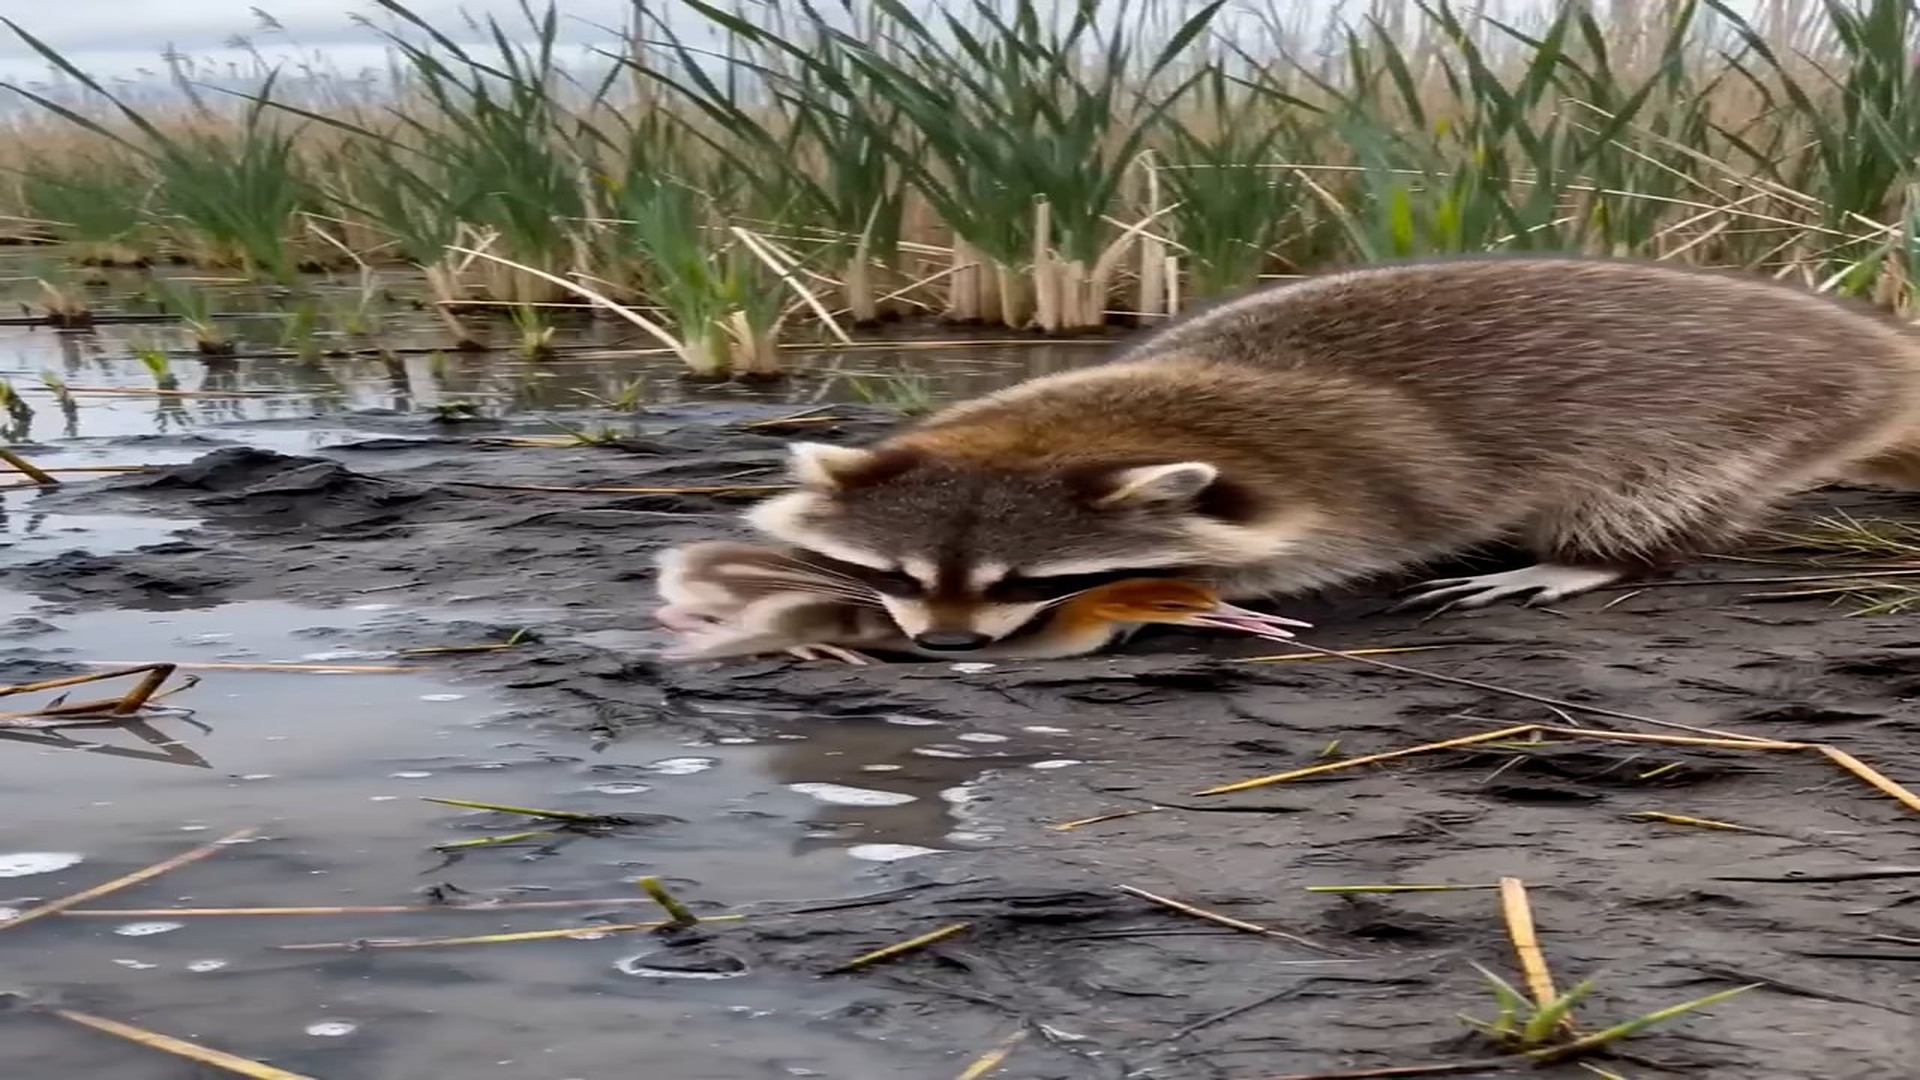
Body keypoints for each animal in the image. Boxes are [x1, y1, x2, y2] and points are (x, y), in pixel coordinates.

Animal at [744, 255, 1920, 652]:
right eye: (900, 574)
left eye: (1026, 582)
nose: (946, 647)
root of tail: (1880, 349)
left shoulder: (1368, 487)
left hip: (1748, 414)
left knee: (1650, 495)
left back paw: (1586, 559)